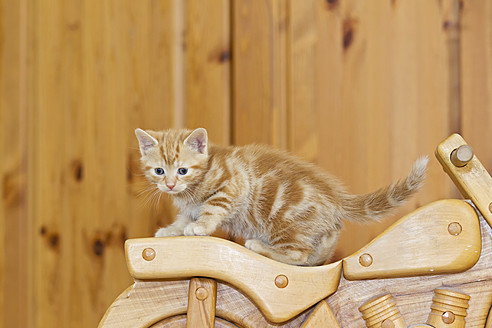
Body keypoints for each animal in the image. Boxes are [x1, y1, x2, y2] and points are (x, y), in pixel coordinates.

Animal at [135, 127, 426, 266]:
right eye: (159, 171)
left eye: (182, 170)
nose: (170, 185)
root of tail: (335, 196)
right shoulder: (189, 206)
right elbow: (184, 218)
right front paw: (170, 230)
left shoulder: (233, 184)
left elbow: (212, 208)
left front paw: (200, 227)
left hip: (285, 223)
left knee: (297, 254)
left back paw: (260, 246)